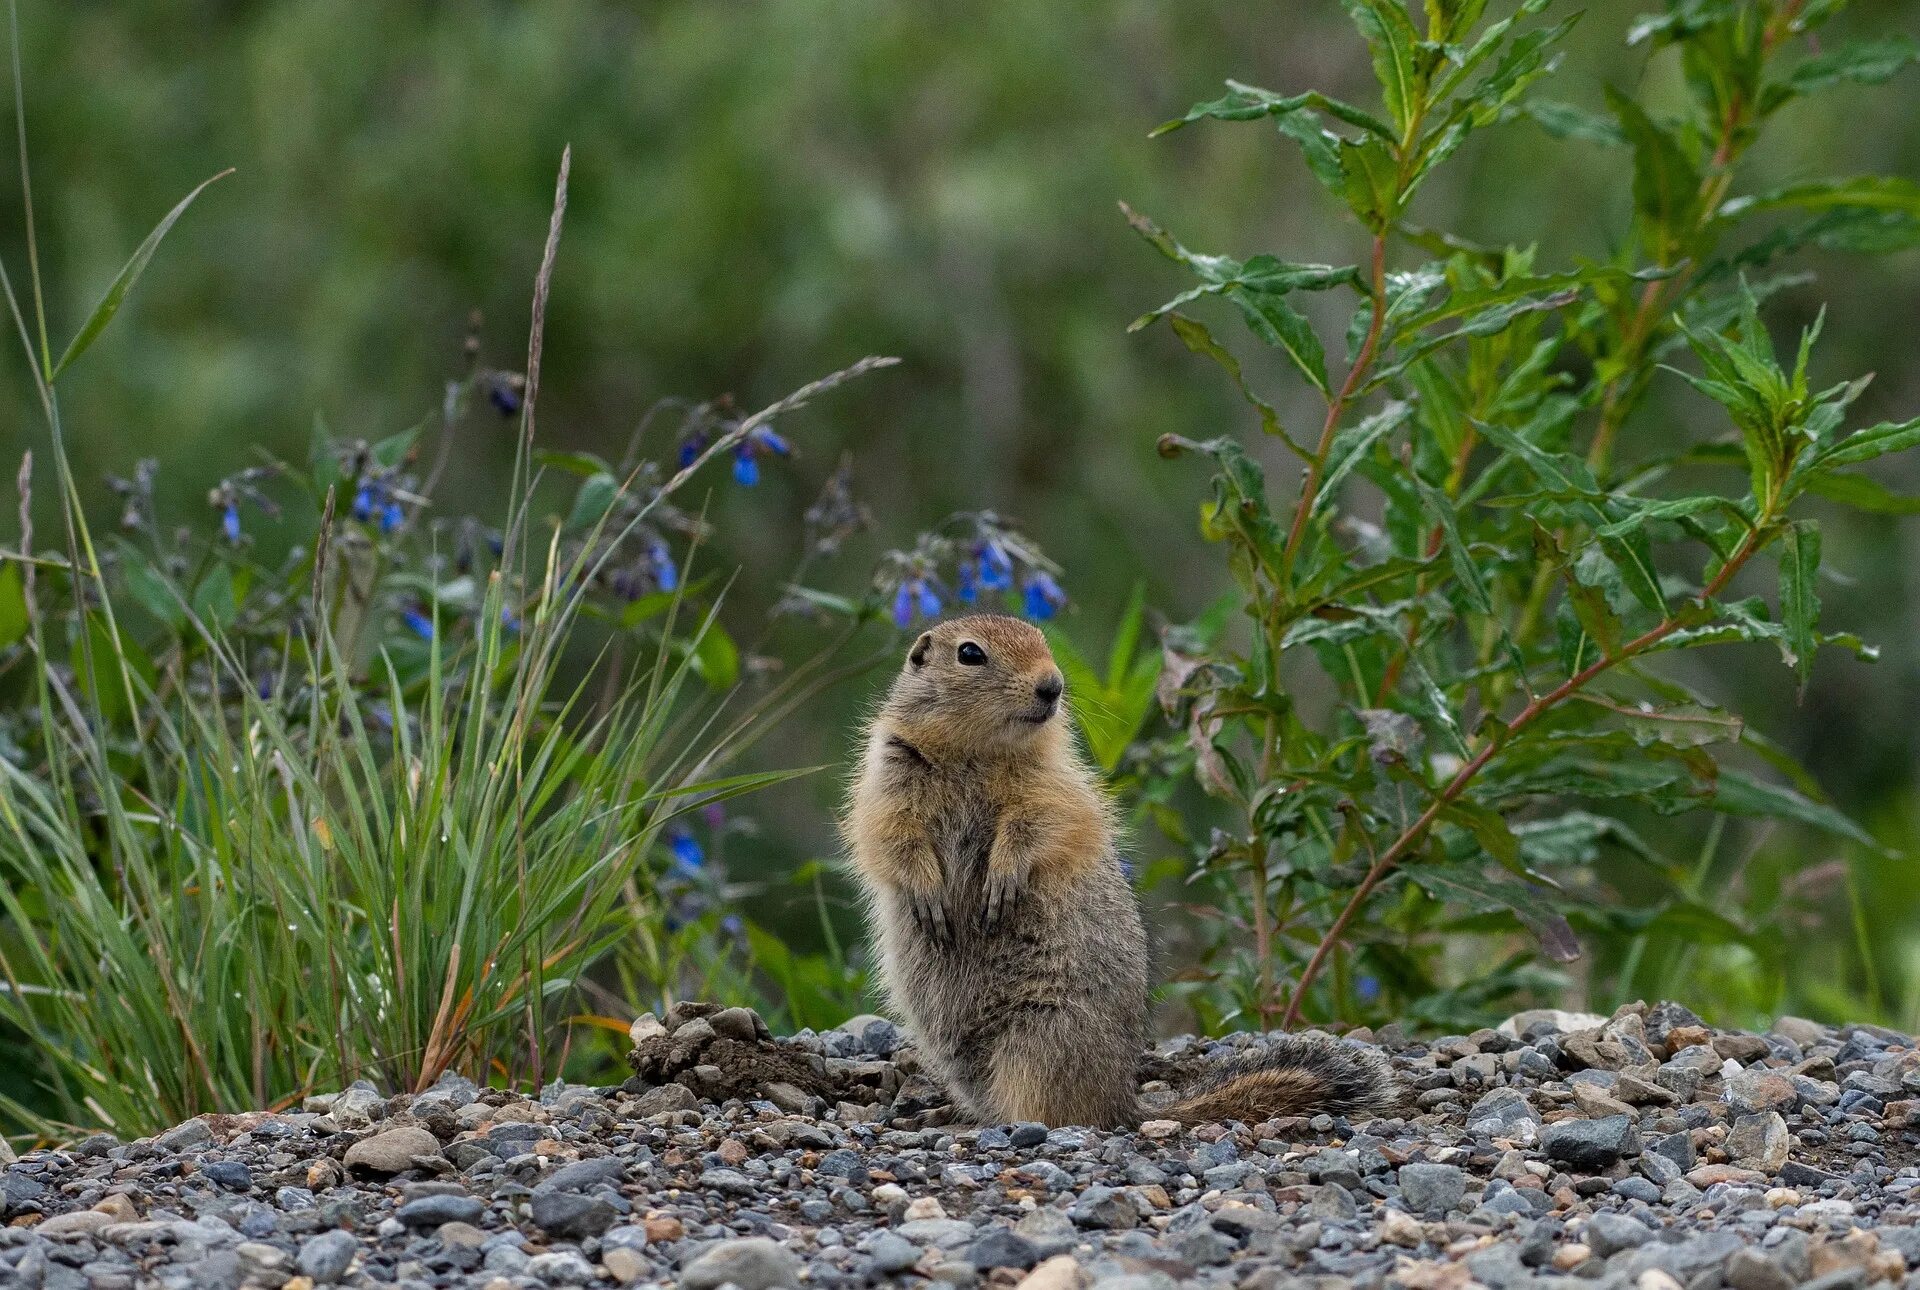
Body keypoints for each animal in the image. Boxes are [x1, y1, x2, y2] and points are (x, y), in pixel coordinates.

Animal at [840, 614, 1397, 1128]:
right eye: (970, 653)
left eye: (1042, 640)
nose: (1052, 685)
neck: (975, 750)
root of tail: (1122, 1101)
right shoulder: (887, 776)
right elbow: (890, 837)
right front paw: (930, 896)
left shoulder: (1052, 786)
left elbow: (1039, 826)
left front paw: (1002, 883)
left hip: (1042, 1040)